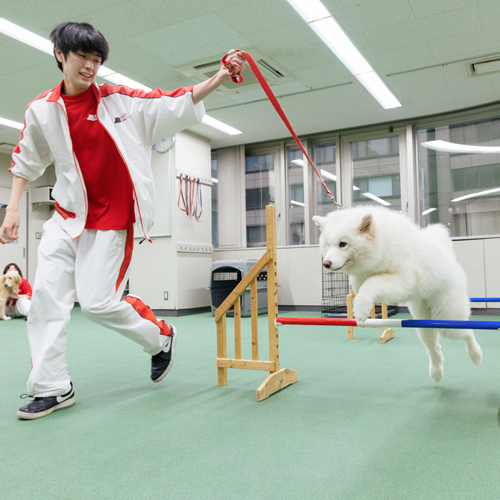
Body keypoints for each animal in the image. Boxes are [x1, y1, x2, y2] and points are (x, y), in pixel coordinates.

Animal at [314, 204, 482, 382]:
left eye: (343, 244)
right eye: (327, 244)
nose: (326, 263)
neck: (382, 246)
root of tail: (448, 256)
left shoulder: (403, 281)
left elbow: (371, 283)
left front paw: (360, 310)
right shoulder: (362, 280)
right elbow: (363, 287)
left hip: (447, 321)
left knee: (467, 332)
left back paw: (476, 355)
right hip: (424, 324)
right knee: (434, 347)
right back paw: (436, 373)